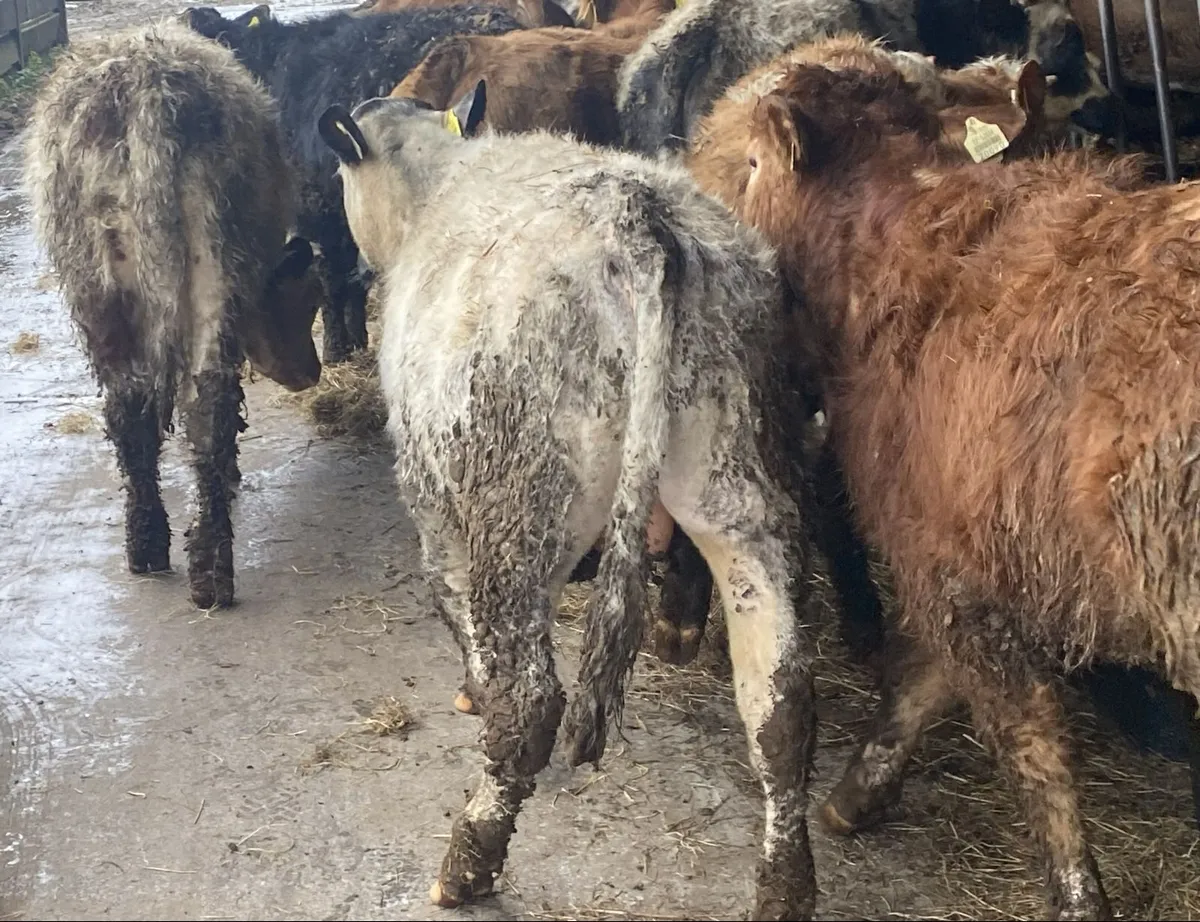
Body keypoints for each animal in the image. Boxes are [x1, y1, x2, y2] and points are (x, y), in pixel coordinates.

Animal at [24, 21, 324, 610]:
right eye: (306, 303)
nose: (313, 372)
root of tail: (145, 86)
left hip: (109, 278)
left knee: (152, 403)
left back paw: (169, 553)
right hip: (178, 266)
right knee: (192, 401)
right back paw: (196, 561)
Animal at [316, 84, 832, 920]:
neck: (440, 182)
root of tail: (638, 218)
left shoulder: (435, 509)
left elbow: (457, 618)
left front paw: (471, 694)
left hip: (524, 516)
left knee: (531, 701)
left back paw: (468, 860)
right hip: (742, 495)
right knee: (780, 706)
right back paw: (784, 889)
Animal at [730, 60, 1200, 918]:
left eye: (750, 164)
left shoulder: (960, 576)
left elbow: (1032, 748)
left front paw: (1079, 896)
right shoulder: (968, 559)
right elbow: (923, 680)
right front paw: (858, 791)